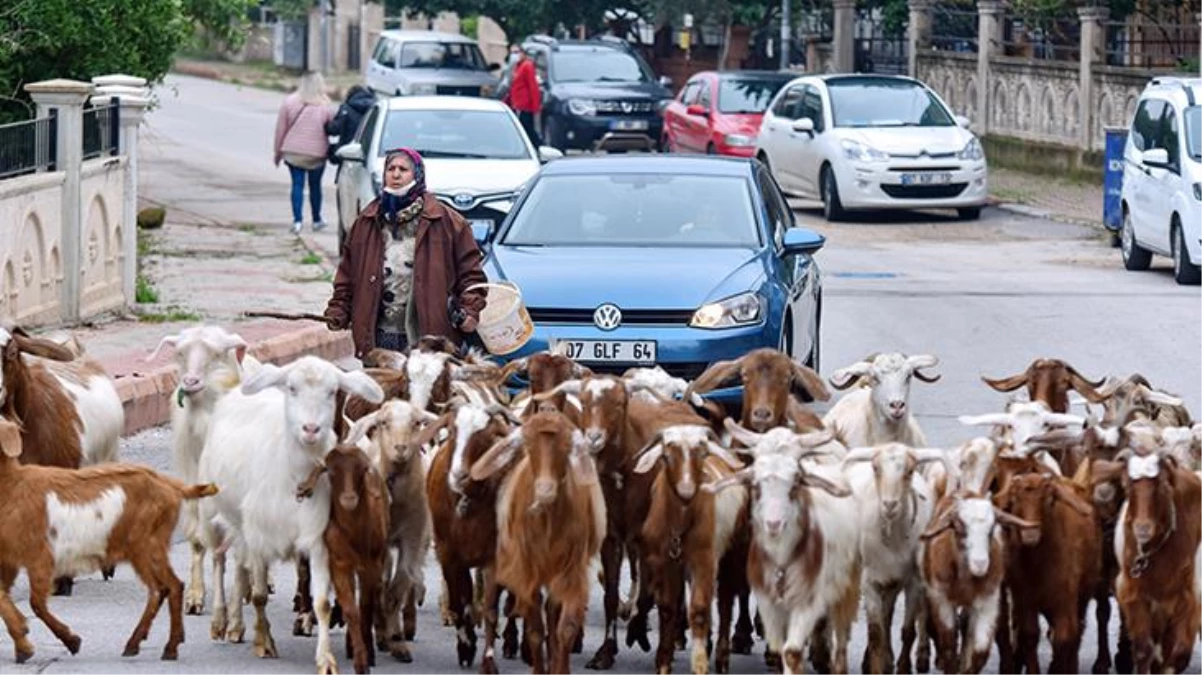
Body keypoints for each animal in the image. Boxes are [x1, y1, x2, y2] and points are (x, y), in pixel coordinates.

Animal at [0, 417, 219, 658]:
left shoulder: (39, 558)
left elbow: (37, 603)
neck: (12, 487)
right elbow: (2, 598)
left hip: (147, 545)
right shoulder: (8, 561)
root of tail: (173, 486)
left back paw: (168, 648)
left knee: (171, 586)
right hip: (145, 549)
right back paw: (135, 644)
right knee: (160, 589)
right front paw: (23, 643)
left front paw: (72, 642)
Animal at [198, 355, 379, 667]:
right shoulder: (258, 533)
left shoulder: (317, 537)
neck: (293, 476)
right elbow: (259, 595)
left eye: (333, 391)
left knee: (238, 566)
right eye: (292, 388)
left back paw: (235, 623)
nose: (311, 429)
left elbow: (322, 603)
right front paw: (264, 642)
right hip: (214, 510)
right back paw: (221, 620)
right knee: (219, 559)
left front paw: (325, 658)